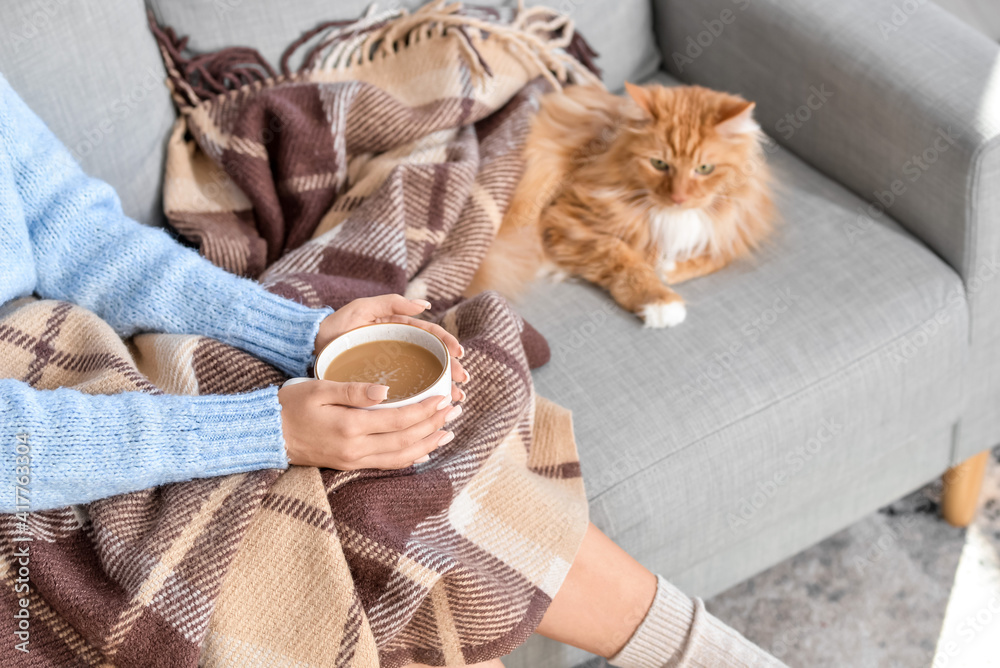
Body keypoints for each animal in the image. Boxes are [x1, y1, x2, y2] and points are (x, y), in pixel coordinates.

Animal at [468, 82, 772, 328]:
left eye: (705, 168)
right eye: (659, 164)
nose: (679, 198)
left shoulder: (738, 222)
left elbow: (720, 253)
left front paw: (669, 268)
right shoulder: (566, 220)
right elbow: (624, 259)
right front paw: (661, 302)